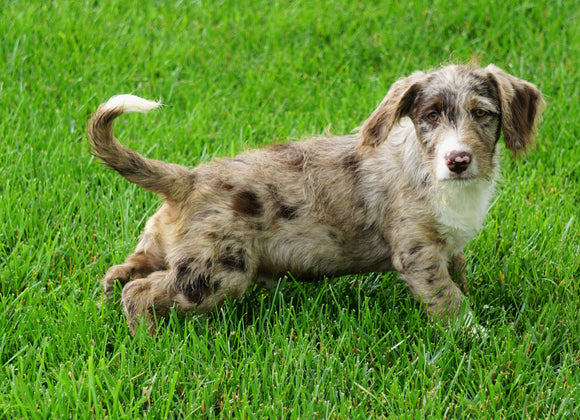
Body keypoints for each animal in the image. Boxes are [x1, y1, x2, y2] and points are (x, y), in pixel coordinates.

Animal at [87, 65, 544, 334]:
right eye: (430, 116)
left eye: (482, 113)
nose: (458, 160)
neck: (433, 174)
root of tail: (188, 178)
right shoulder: (418, 254)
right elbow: (449, 300)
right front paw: (475, 336)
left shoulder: (448, 247)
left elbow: (460, 275)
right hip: (215, 273)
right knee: (140, 293)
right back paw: (149, 339)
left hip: (164, 249)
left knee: (120, 273)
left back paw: (109, 311)